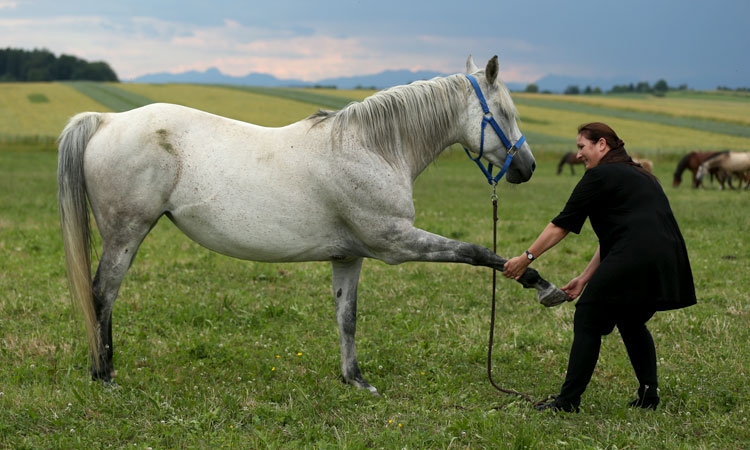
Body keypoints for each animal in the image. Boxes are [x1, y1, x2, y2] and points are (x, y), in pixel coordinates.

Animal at [58, 55, 568, 394]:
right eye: (504, 113)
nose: (527, 166)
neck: (372, 148)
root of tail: (105, 119)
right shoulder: (397, 243)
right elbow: (478, 252)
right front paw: (542, 285)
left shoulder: (349, 257)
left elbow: (347, 317)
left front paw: (355, 379)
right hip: (126, 234)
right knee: (103, 293)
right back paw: (104, 374)